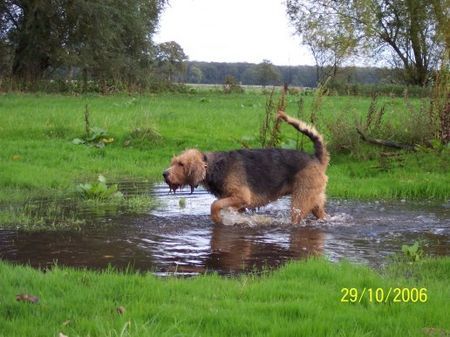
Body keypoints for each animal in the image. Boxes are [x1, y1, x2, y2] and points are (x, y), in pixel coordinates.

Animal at [163, 110, 328, 223]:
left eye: (181, 164)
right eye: (173, 162)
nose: (164, 174)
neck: (213, 167)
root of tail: (317, 158)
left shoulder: (241, 196)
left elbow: (214, 205)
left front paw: (217, 219)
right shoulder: (237, 204)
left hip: (300, 202)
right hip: (315, 202)